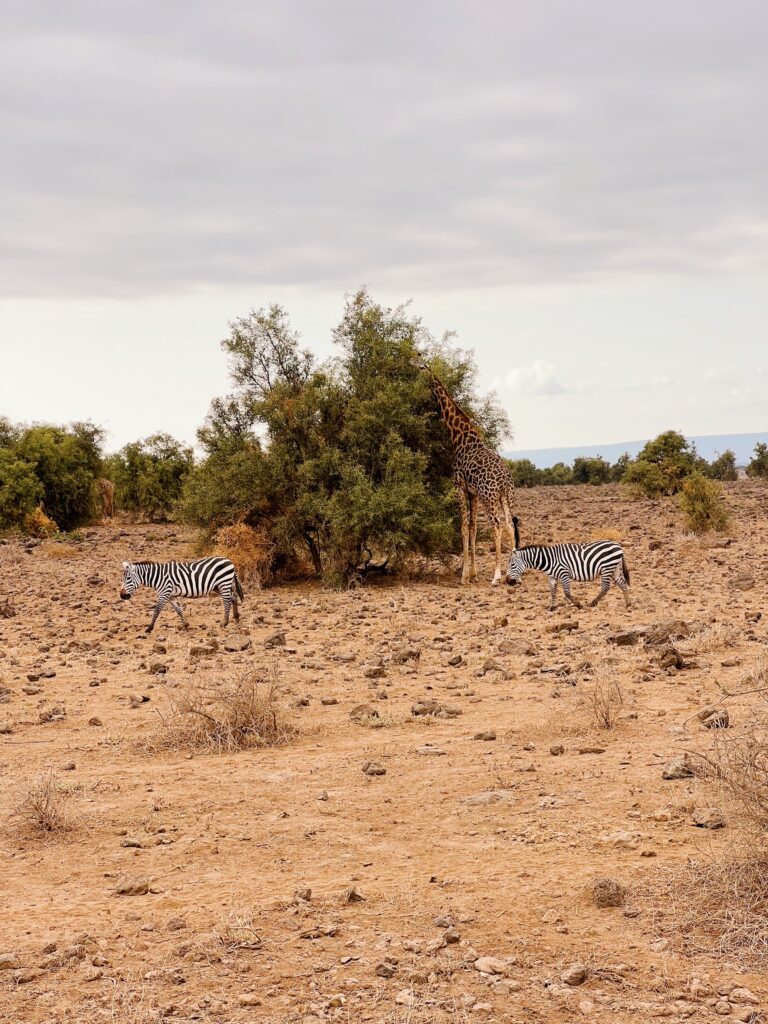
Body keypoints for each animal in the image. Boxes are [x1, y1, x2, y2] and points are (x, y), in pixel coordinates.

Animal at [417, 362, 520, 585]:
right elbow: (473, 528)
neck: (458, 435)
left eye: (419, 368)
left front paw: (464, 576)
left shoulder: (459, 486)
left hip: (489, 497)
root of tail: (504, 480)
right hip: (505, 496)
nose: (410, 364)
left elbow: (463, 526)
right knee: (509, 524)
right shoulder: (473, 493)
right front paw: (473, 573)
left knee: (497, 525)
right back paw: (512, 574)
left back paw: (496, 576)